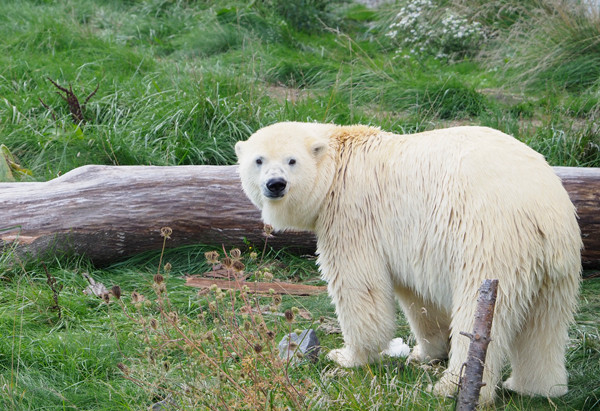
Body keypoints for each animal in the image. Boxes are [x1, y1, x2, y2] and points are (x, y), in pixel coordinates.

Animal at [234, 122, 580, 406]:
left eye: (292, 160)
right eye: (259, 160)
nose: (276, 184)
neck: (339, 163)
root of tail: (542, 212)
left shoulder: (352, 214)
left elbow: (360, 287)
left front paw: (346, 356)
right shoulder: (408, 243)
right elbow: (418, 298)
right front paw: (424, 352)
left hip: (492, 241)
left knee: (479, 310)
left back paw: (451, 387)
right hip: (557, 262)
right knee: (545, 324)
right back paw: (534, 387)